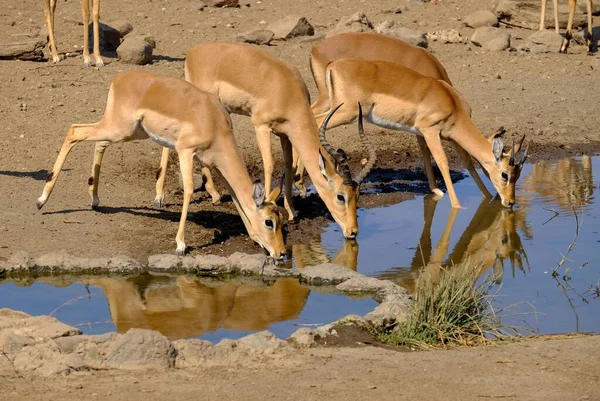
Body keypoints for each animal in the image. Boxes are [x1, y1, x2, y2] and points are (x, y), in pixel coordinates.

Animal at [36, 70, 288, 258]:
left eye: (281, 219)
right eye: (269, 222)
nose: (282, 253)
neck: (213, 121)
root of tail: (120, 77)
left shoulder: (215, 164)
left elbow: (237, 198)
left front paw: (254, 238)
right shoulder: (185, 151)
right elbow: (188, 190)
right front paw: (180, 245)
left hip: (128, 132)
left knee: (98, 143)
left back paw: (95, 200)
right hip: (119, 129)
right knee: (74, 130)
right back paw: (42, 200)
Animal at [152, 42, 376, 239]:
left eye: (357, 195)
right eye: (340, 196)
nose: (353, 232)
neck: (286, 90)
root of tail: (193, 52)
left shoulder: (285, 133)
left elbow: (288, 165)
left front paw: (291, 211)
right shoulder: (260, 126)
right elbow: (269, 164)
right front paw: (269, 204)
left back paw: (211, 194)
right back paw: (160, 197)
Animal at [292, 32, 486, 200]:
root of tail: (316, 50)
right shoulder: (423, 123)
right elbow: (427, 148)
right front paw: (436, 188)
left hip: (329, 102)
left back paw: (300, 182)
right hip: (340, 108)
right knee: (315, 121)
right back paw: (300, 183)